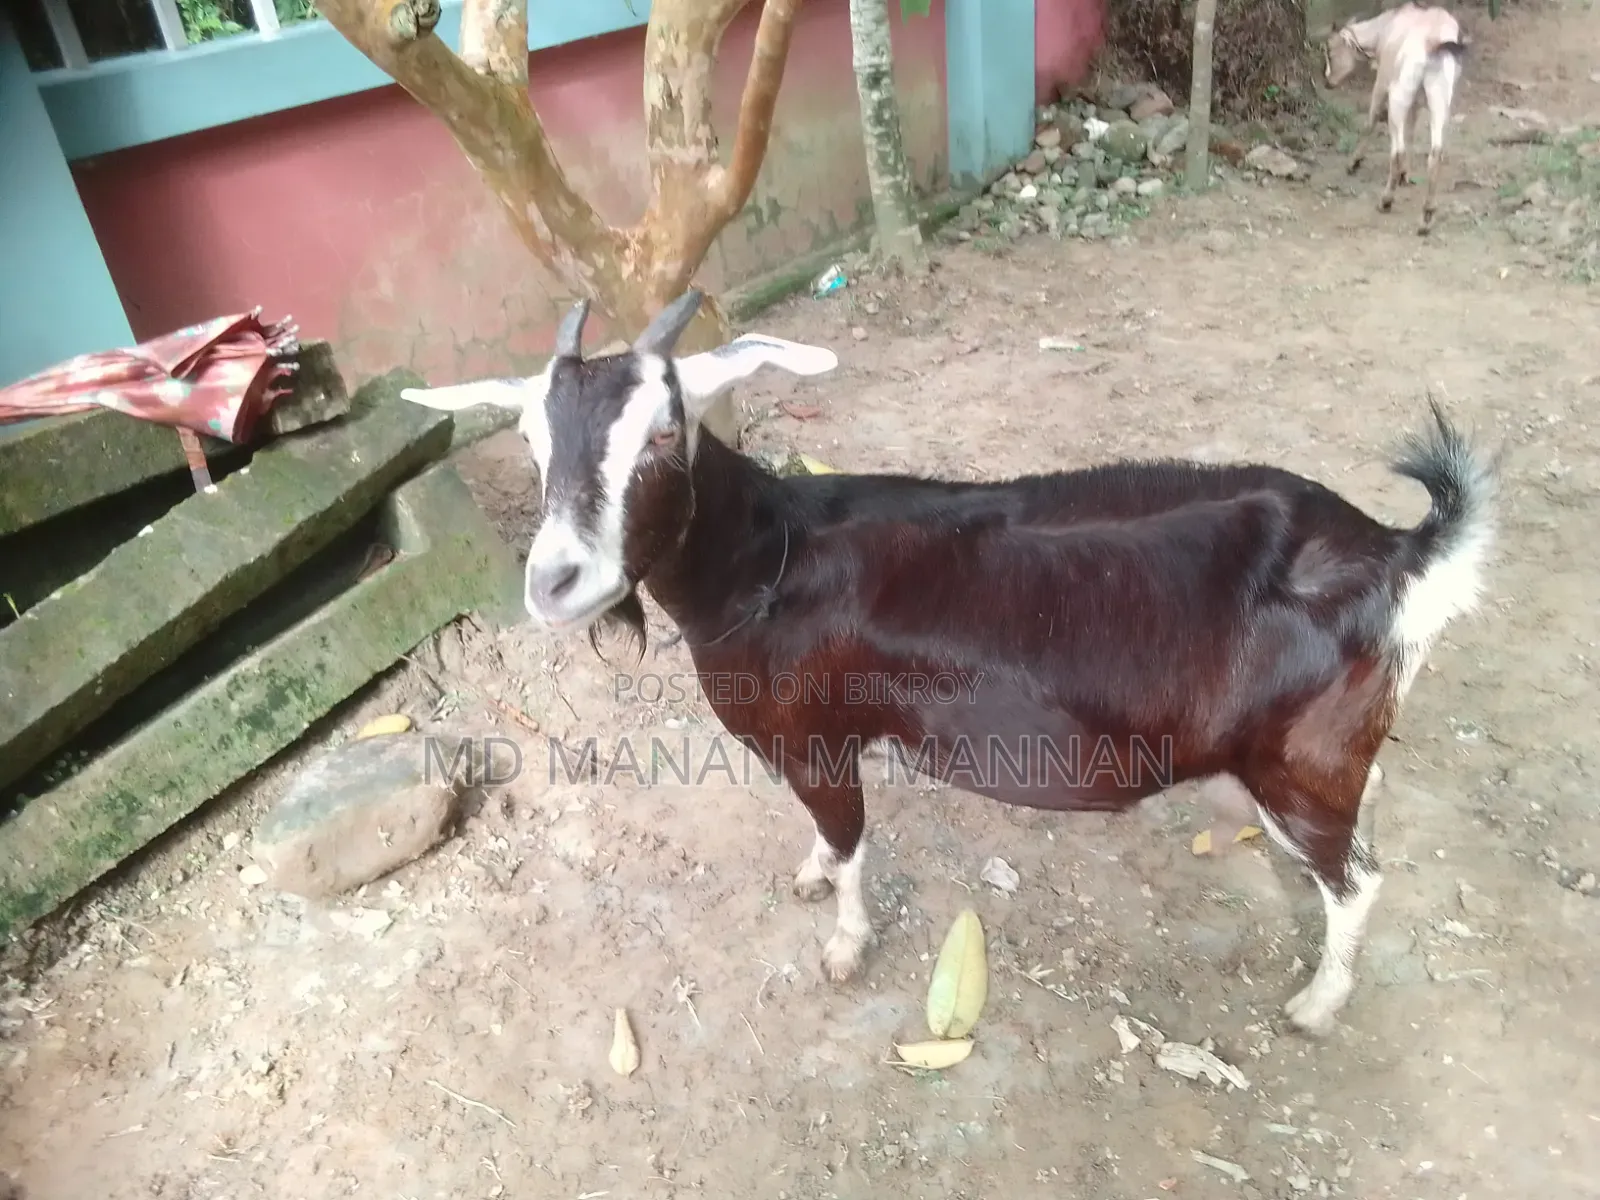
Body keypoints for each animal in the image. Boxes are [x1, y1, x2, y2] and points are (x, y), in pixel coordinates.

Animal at [401, 290, 1497, 1038]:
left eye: (663, 434)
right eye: (530, 439)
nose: (555, 582)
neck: (771, 561)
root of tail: (1398, 554)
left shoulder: (818, 740)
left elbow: (849, 845)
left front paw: (843, 946)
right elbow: (820, 842)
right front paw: (807, 876)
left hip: (1300, 761)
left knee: (1361, 881)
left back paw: (1317, 1001)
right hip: (1329, 744)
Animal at [1324, 2, 1469, 235]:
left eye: (1329, 50)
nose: (1327, 81)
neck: (1385, 28)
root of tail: (1433, 42)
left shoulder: (1382, 81)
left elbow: (1371, 121)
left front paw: (1353, 163)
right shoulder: (1416, 102)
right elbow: (1410, 132)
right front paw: (1404, 175)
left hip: (1398, 95)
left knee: (1397, 151)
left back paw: (1386, 201)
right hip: (1440, 97)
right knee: (1435, 153)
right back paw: (1427, 216)